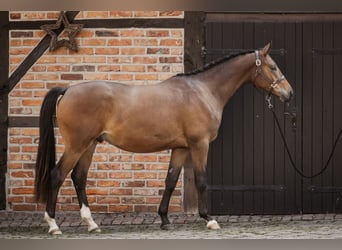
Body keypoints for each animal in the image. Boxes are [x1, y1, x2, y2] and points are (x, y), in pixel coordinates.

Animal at [34, 43, 294, 234]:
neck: (201, 90)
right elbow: (201, 180)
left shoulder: (180, 148)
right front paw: (209, 219)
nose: (289, 93)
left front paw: (165, 219)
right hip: (76, 146)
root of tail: (67, 90)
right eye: (273, 66)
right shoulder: (199, 145)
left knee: (79, 178)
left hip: (89, 146)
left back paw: (92, 224)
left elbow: (170, 181)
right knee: (57, 175)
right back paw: (54, 225)